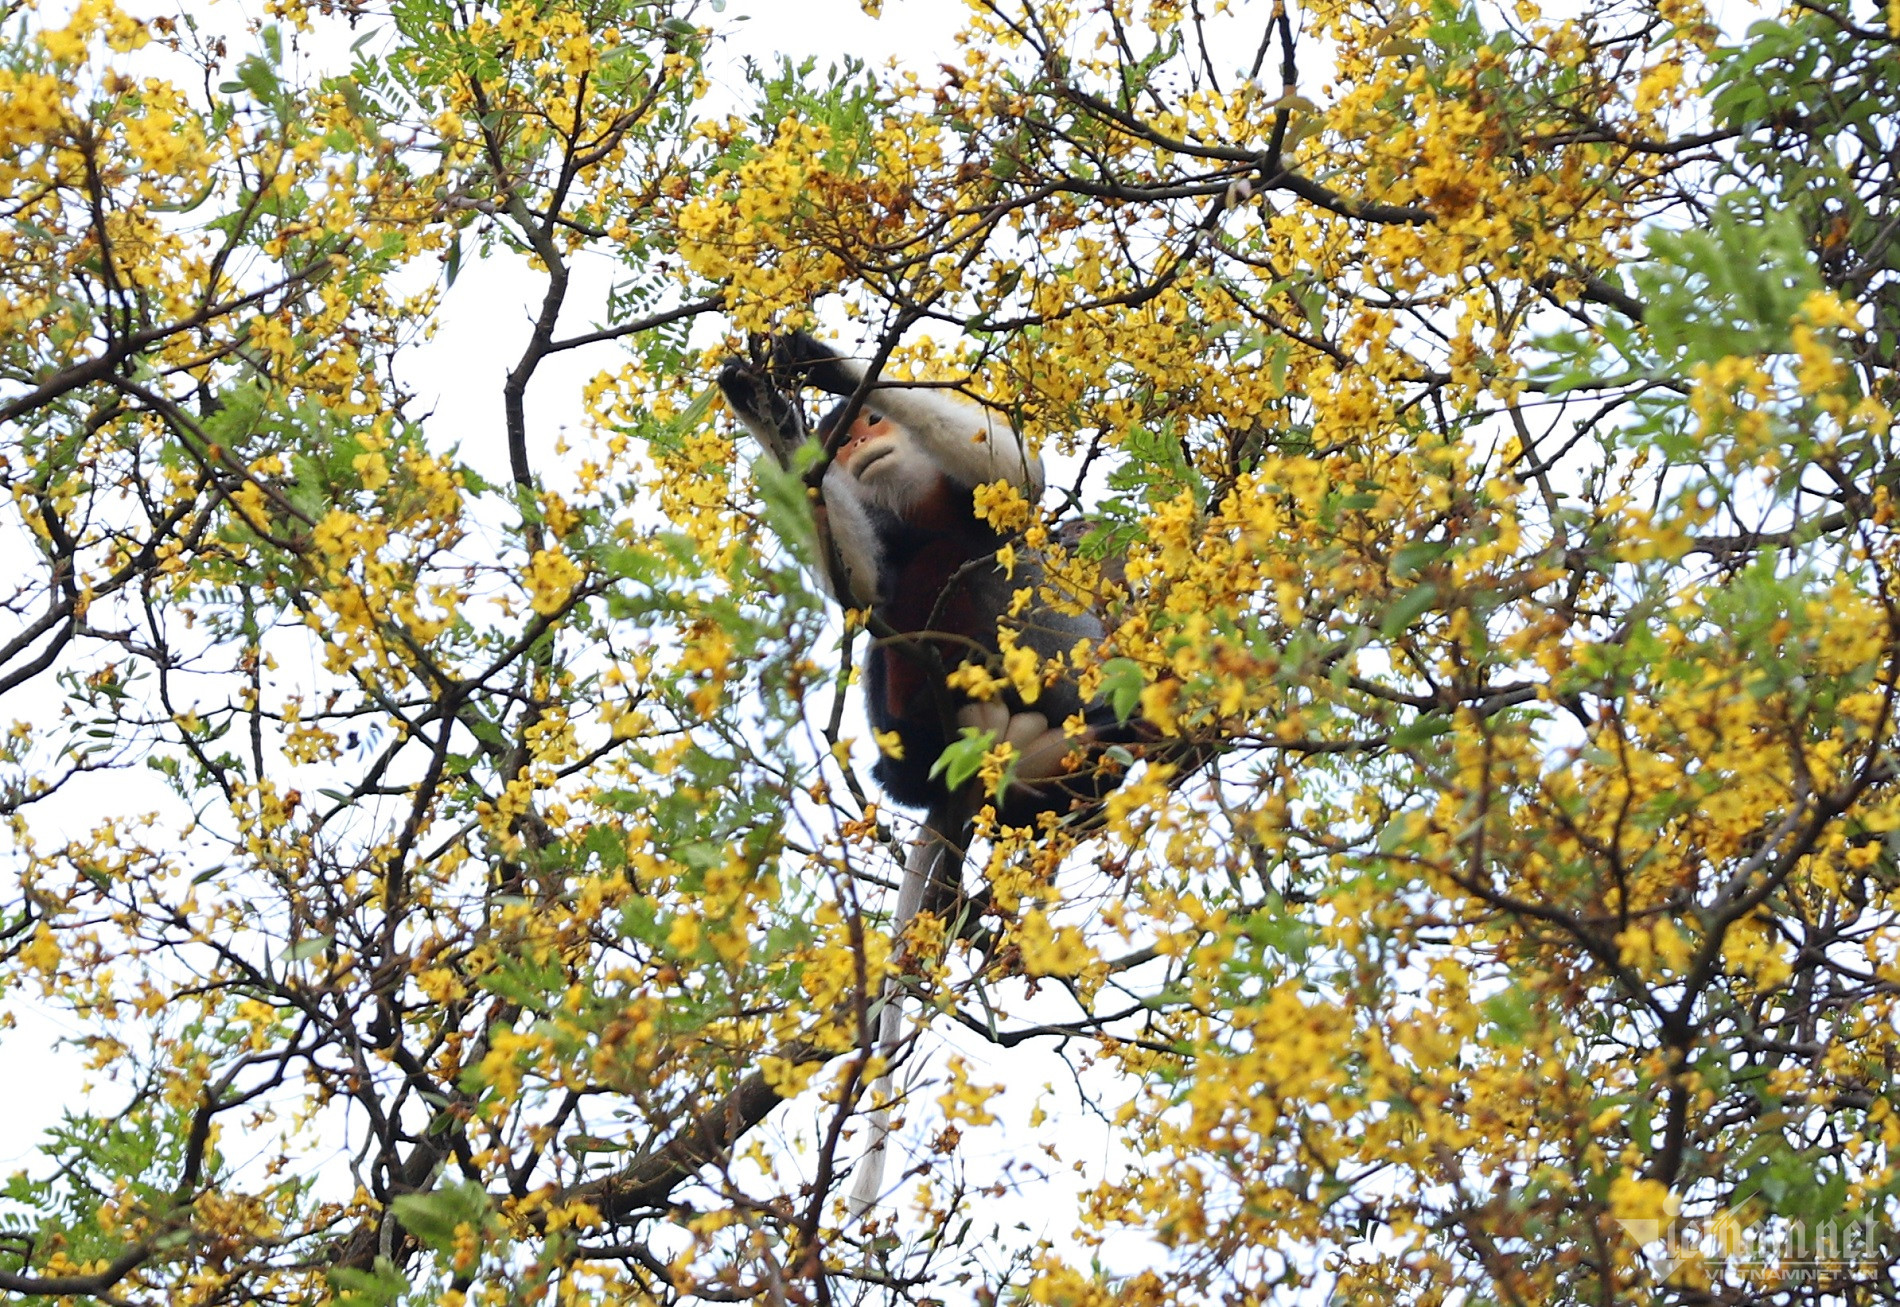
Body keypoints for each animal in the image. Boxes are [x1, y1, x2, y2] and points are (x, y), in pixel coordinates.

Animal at [714, 334, 1124, 1215]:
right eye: (846, 441)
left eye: (870, 421)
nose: (859, 446)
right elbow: (863, 590)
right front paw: (766, 408)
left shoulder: (976, 495)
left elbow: (1019, 476)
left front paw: (814, 360)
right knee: (896, 625)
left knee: (1028, 556)